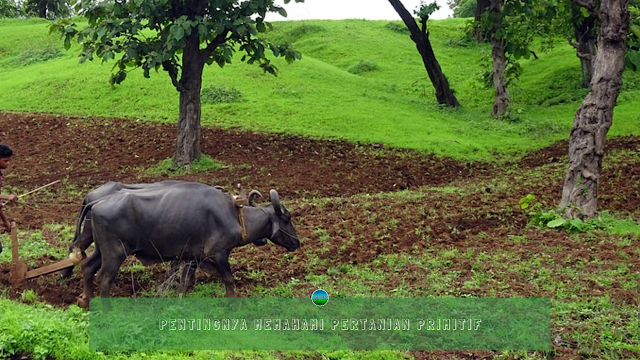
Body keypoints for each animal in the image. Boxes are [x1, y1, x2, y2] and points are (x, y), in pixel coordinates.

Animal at [77, 184, 300, 308]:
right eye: (287, 218)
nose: (297, 242)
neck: (234, 215)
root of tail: (96, 202)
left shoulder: (192, 258)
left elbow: (184, 283)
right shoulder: (219, 254)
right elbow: (228, 279)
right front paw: (233, 303)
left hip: (101, 251)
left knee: (88, 267)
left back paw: (86, 300)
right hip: (115, 254)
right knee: (104, 279)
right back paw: (108, 310)